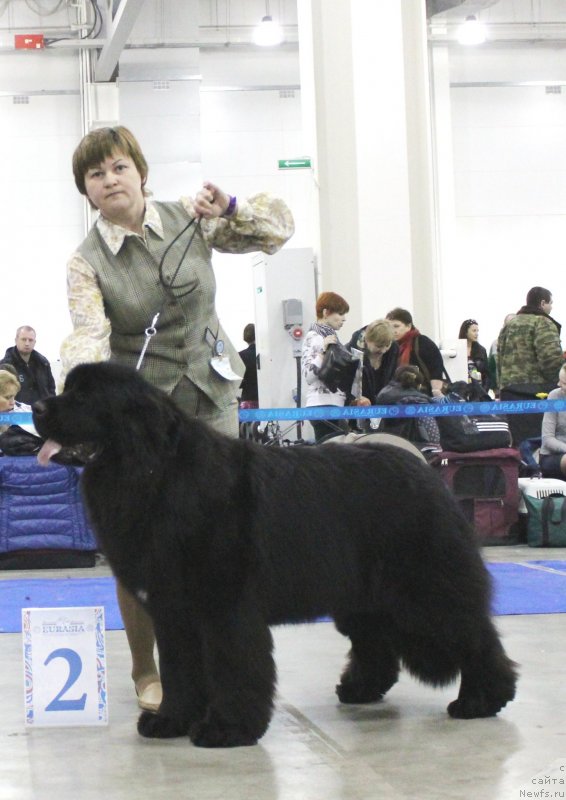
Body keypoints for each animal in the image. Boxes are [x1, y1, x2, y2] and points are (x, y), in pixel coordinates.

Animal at [32, 366, 520, 748]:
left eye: (83, 397)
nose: (36, 407)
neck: (154, 471)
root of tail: (426, 470)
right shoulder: (173, 611)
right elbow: (178, 670)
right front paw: (170, 720)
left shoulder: (224, 606)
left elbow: (232, 666)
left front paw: (227, 729)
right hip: (363, 597)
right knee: (375, 642)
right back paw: (360, 689)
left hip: (424, 591)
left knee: (473, 635)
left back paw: (481, 699)